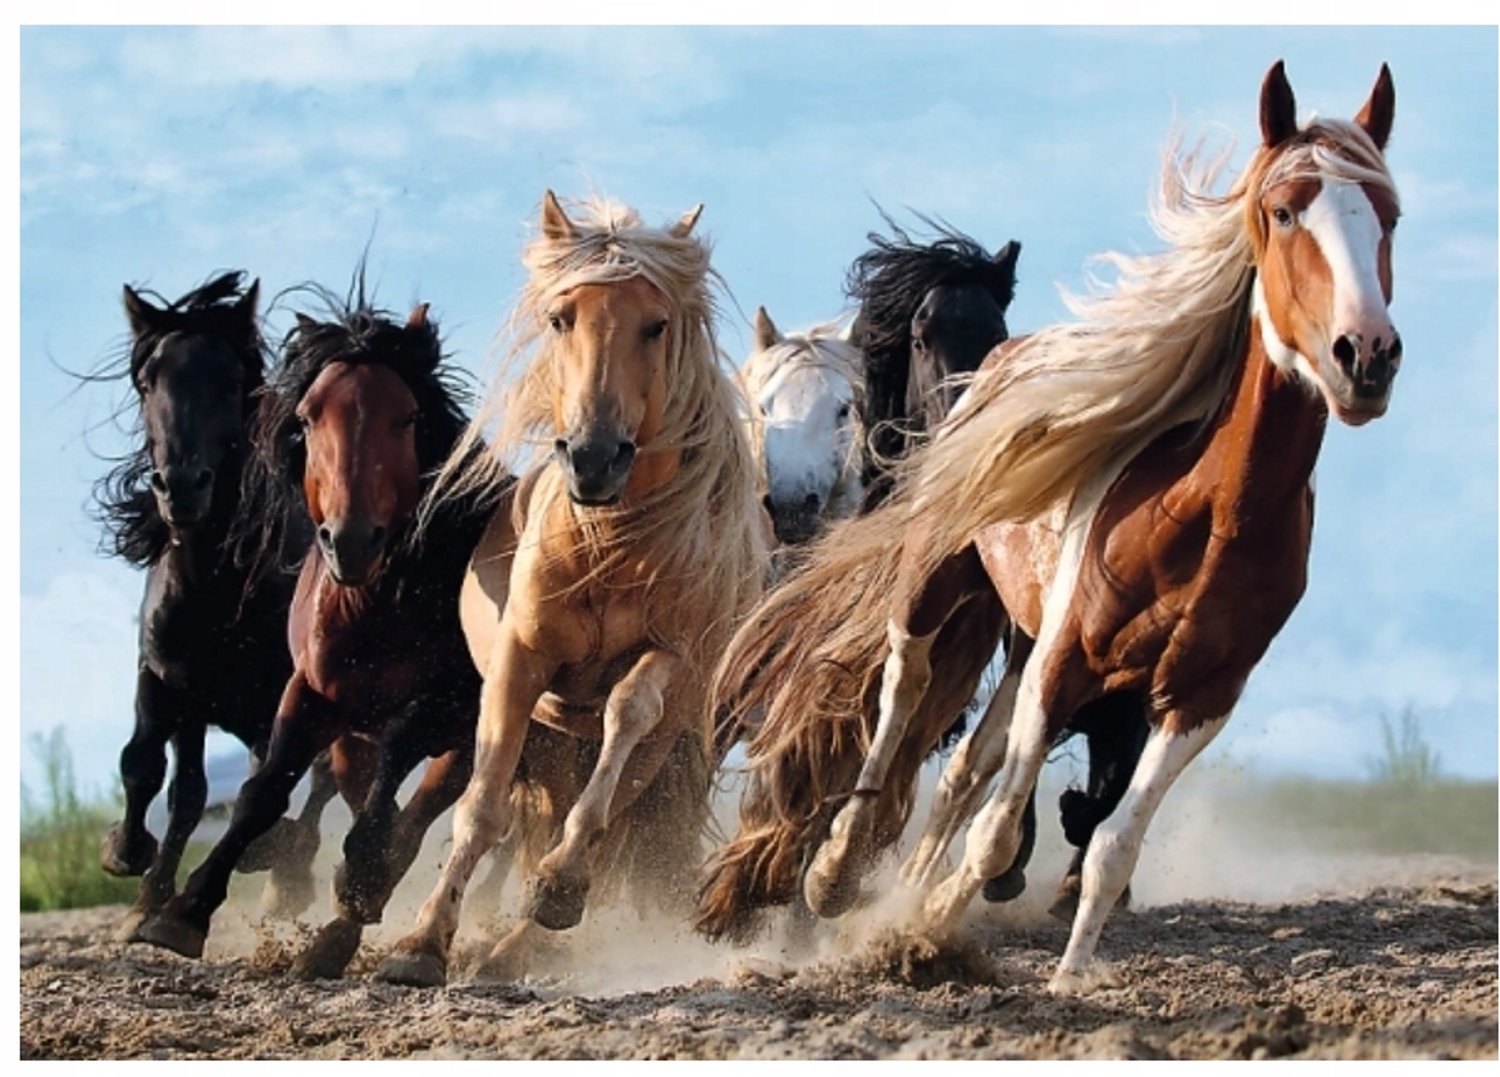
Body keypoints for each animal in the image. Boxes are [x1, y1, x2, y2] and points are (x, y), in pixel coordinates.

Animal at [92, 272, 328, 940]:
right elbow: (156, 771)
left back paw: (285, 872)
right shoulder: (170, 680)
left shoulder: (285, 691)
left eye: (230, 381)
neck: (215, 590)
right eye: (148, 381)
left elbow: (274, 781)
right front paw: (133, 870)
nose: (181, 487)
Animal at [133, 285, 493, 980]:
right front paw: (183, 912)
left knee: (417, 817)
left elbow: (395, 775)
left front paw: (359, 877)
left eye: (407, 418)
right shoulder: (309, 693)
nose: (350, 541)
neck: (379, 604)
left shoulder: (449, 706)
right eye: (307, 417)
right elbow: (262, 791)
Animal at [374, 192, 769, 988]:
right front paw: (421, 943)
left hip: (661, 747)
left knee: (610, 821)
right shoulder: (520, 664)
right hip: (557, 740)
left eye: (656, 324)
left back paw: (524, 938)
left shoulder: (670, 660)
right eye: (562, 318)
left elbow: (626, 717)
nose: (593, 457)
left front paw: (557, 885)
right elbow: (482, 807)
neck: (609, 544)